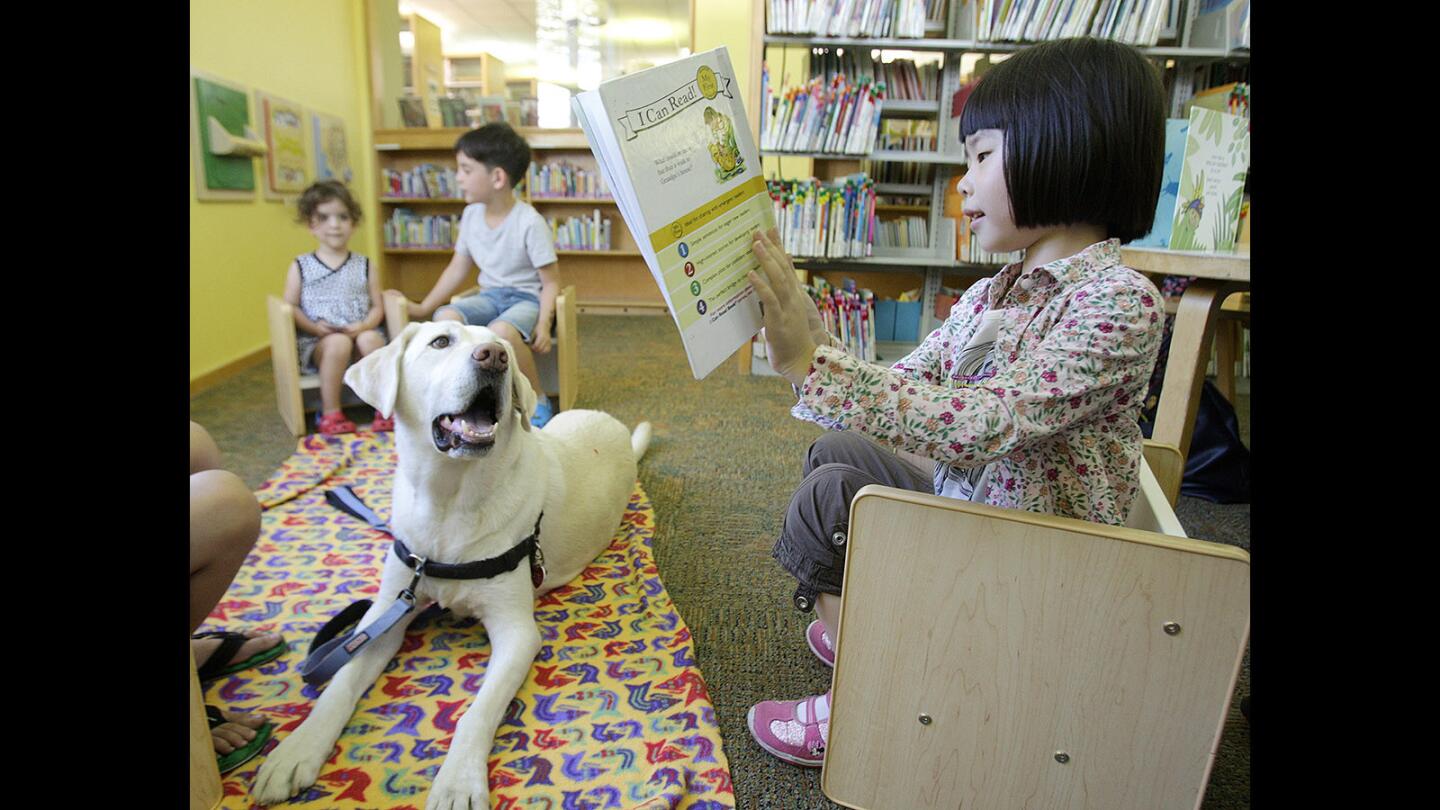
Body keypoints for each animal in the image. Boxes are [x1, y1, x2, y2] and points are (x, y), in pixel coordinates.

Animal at [254, 318, 653, 801]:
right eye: (440, 341)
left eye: (503, 348)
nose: (494, 358)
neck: (448, 501)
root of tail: (617, 430)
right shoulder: (388, 610)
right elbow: (341, 682)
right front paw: (296, 750)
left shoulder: (517, 633)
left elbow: (475, 713)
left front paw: (459, 780)